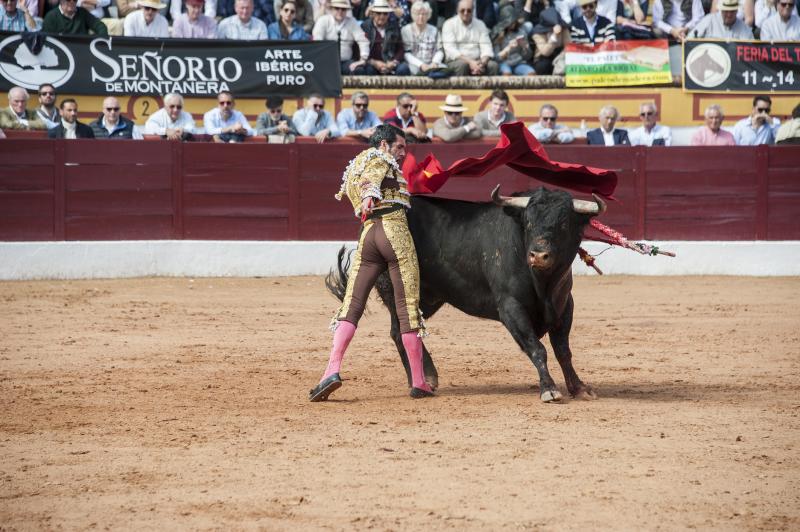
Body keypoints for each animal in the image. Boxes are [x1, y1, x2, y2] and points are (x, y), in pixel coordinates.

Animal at [326, 185, 608, 402]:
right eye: (528, 222)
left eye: (564, 223)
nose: (538, 255)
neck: (543, 283)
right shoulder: (511, 306)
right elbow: (537, 347)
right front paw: (549, 389)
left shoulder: (564, 305)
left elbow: (563, 351)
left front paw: (579, 388)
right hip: (396, 288)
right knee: (400, 331)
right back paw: (423, 380)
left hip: (429, 297)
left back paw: (424, 378)